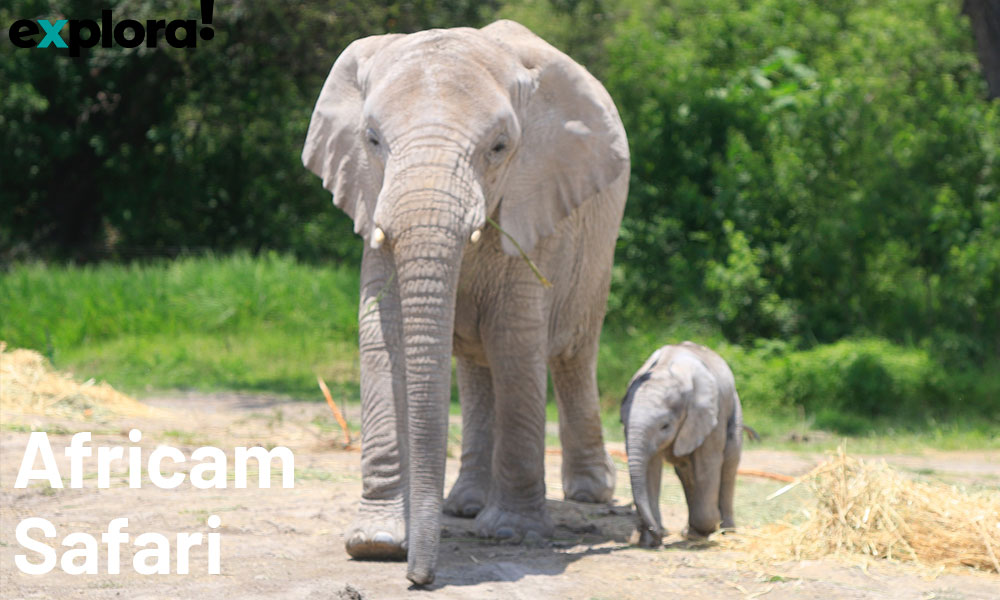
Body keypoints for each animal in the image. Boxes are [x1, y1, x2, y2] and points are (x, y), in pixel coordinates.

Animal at [300, 19, 628, 584]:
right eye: (372, 140)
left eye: (499, 147)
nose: (420, 579)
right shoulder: (372, 202)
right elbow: (382, 336)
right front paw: (377, 543)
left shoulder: (534, 204)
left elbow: (516, 341)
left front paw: (511, 534)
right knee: (478, 369)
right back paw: (464, 506)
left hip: (598, 242)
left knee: (572, 351)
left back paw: (589, 493)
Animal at [620, 340, 748, 548]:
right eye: (622, 422)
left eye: (665, 426)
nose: (659, 535)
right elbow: (651, 468)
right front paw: (650, 542)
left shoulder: (709, 414)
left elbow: (708, 462)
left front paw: (707, 529)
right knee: (686, 472)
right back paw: (691, 531)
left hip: (735, 409)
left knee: (729, 463)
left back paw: (725, 531)